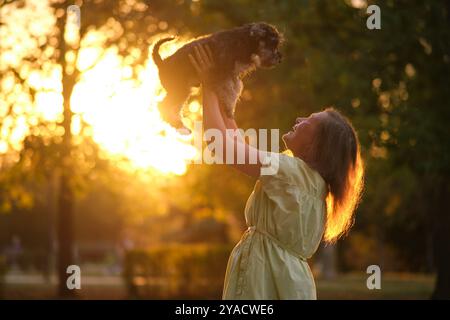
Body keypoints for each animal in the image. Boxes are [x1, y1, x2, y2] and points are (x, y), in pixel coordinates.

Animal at [153, 22, 284, 131]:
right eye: (272, 44)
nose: (280, 59)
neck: (245, 41)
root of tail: (162, 63)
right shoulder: (224, 75)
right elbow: (229, 90)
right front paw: (229, 108)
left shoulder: (232, 76)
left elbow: (235, 90)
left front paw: (230, 108)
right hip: (179, 89)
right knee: (164, 106)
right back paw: (181, 128)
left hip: (182, 90)